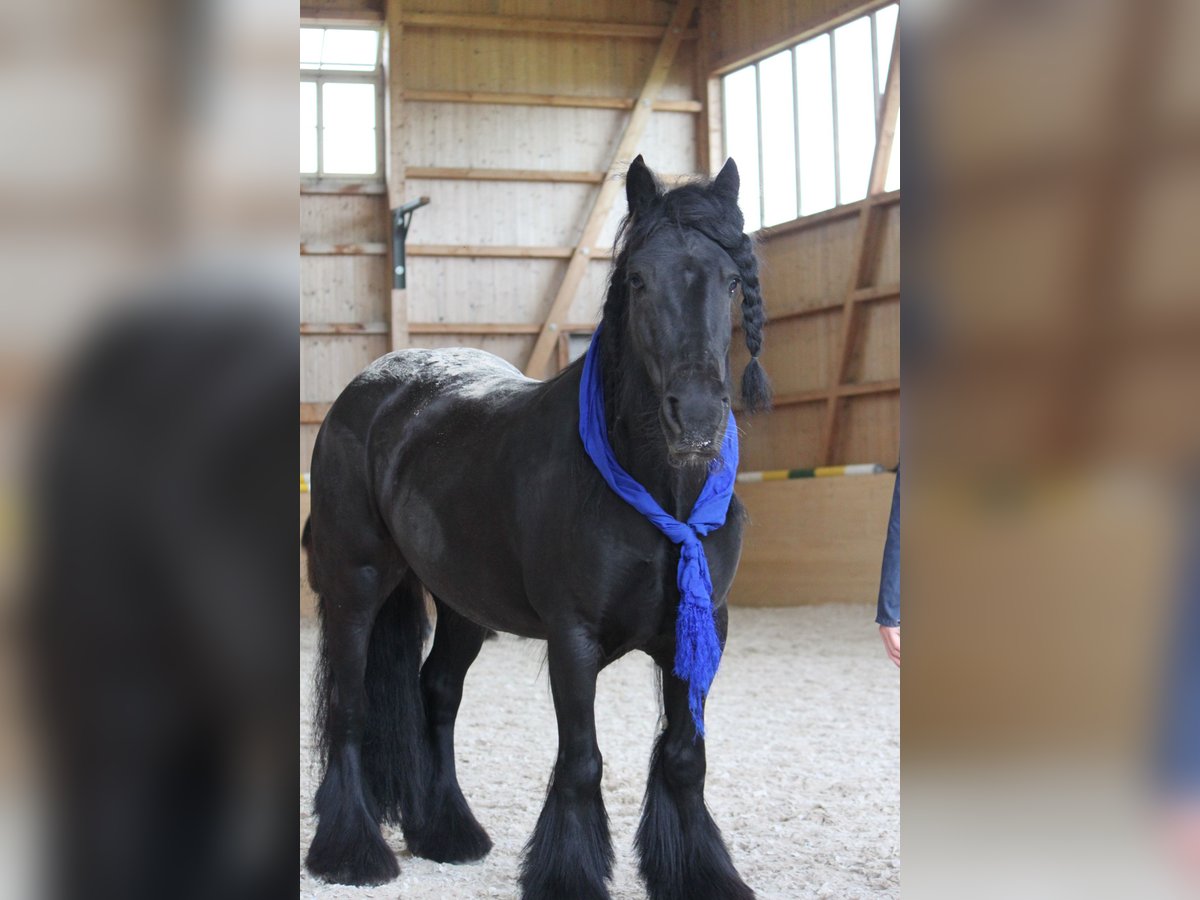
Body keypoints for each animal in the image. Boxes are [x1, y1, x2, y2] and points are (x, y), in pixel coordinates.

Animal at [302, 157, 768, 900]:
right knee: (350, 709)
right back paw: (352, 853)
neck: (658, 496)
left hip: (463, 605)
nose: (696, 418)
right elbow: (581, 761)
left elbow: (682, 756)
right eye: (639, 280)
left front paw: (699, 873)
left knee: (437, 694)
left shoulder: (701, 631)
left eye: (731, 280)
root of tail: (372, 386)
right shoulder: (572, 639)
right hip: (357, 587)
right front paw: (568, 875)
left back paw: (447, 834)